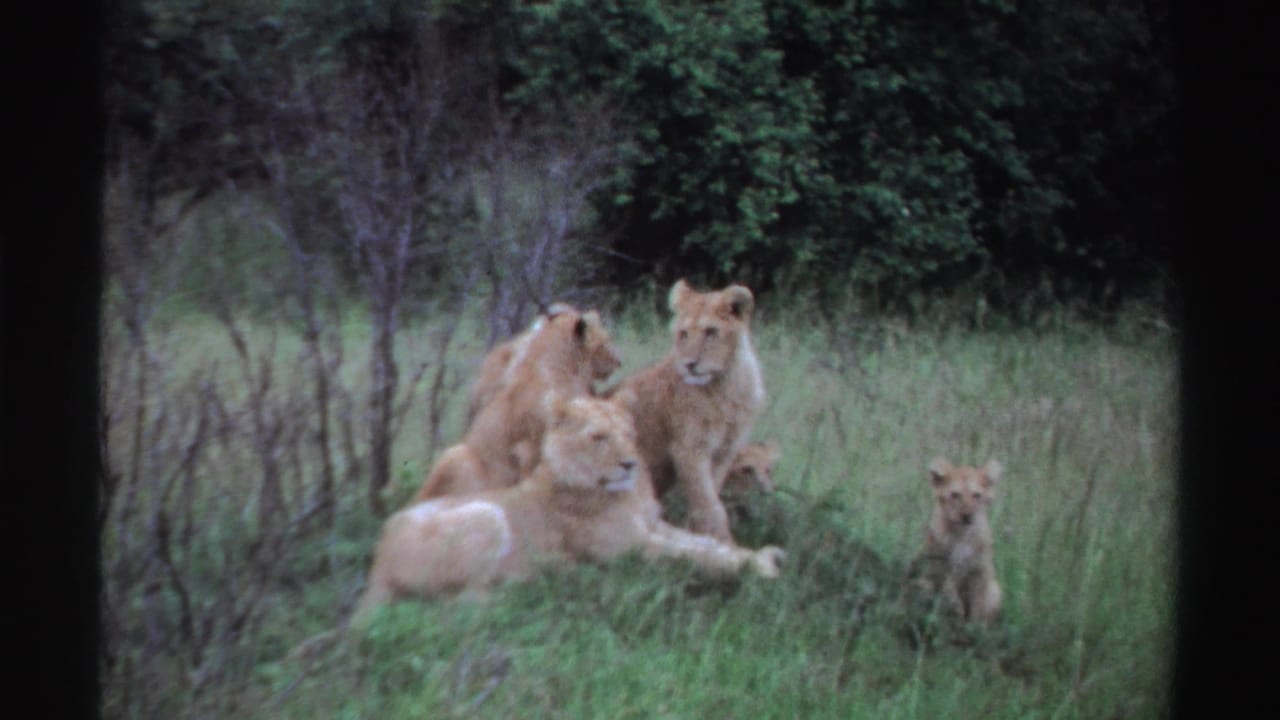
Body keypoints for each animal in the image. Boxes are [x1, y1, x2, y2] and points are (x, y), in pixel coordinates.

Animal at [354, 396, 787, 622]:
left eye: (628, 434)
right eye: (598, 437)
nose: (630, 463)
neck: (622, 493)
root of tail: (377, 563)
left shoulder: (653, 527)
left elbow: (707, 544)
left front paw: (760, 554)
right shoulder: (632, 547)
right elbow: (695, 556)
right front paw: (759, 568)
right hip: (486, 516)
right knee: (456, 605)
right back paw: (545, 581)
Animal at [607, 279, 765, 541]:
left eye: (711, 332)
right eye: (684, 334)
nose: (690, 365)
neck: (726, 385)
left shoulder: (725, 451)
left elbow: (710, 496)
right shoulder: (689, 449)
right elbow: (709, 504)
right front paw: (722, 541)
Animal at [905, 457, 1003, 626]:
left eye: (976, 495)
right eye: (955, 495)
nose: (967, 515)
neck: (962, 534)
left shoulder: (979, 570)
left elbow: (979, 603)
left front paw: (974, 626)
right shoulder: (939, 565)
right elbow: (950, 593)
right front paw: (957, 611)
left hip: (995, 589)